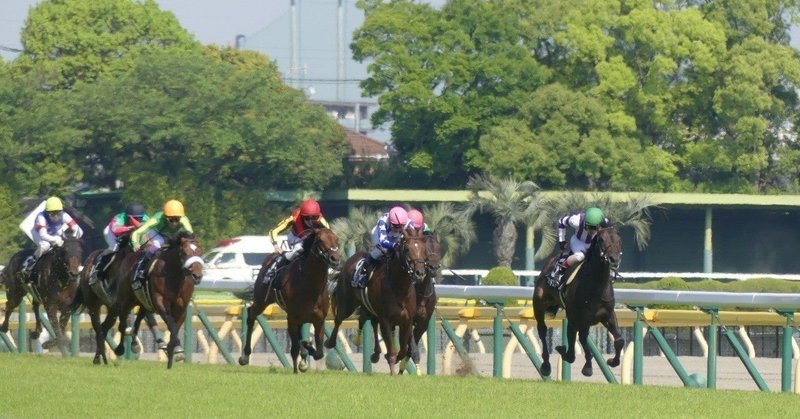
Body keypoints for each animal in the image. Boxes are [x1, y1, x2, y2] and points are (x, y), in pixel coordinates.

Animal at [110, 231, 203, 370]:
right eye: (184, 252)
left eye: (200, 251)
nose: (197, 275)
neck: (174, 275)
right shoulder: (161, 303)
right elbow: (172, 327)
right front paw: (171, 352)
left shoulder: (182, 308)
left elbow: (174, 328)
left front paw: (175, 353)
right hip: (126, 299)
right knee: (123, 322)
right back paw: (120, 348)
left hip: (144, 301)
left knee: (139, 317)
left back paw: (134, 343)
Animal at [236, 226, 340, 374]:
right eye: (320, 240)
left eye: (336, 239)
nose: (335, 259)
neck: (311, 286)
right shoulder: (291, 317)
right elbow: (295, 348)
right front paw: (296, 369)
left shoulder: (319, 319)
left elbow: (319, 352)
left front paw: (306, 350)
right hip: (262, 300)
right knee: (251, 314)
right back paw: (245, 356)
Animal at [324, 228, 428, 376]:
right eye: (407, 249)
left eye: (424, 249)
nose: (420, 272)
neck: (399, 288)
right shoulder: (386, 320)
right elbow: (392, 351)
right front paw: (392, 371)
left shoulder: (407, 321)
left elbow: (402, 350)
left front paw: (395, 360)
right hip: (347, 303)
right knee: (339, 319)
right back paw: (331, 342)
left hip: (369, 308)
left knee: (367, 320)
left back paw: (374, 352)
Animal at [532, 228, 624, 378]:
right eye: (601, 239)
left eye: (619, 239)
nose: (613, 259)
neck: (596, 285)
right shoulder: (574, 316)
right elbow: (571, 352)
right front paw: (561, 348)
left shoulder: (607, 315)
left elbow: (620, 340)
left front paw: (612, 361)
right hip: (539, 304)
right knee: (542, 329)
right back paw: (546, 365)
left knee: (583, 337)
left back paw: (588, 365)